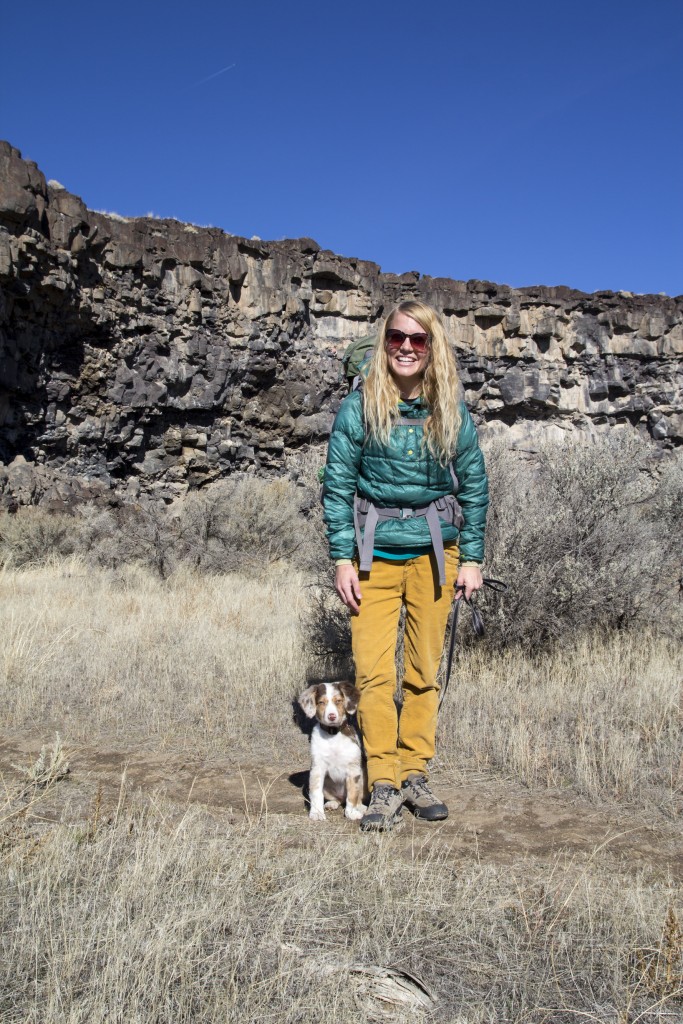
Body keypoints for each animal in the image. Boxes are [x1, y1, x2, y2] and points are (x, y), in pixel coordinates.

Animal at [296, 679, 366, 823]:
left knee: (355, 797)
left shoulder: (353, 770)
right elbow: (316, 793)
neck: (333, 734)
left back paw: (360, 807)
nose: (332, 716)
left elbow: (353, 795)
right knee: (337, 799)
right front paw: (316, 813)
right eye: (321, 703)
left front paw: (351, 813)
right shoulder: (317, 769)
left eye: (338, 701)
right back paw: (331, 804)